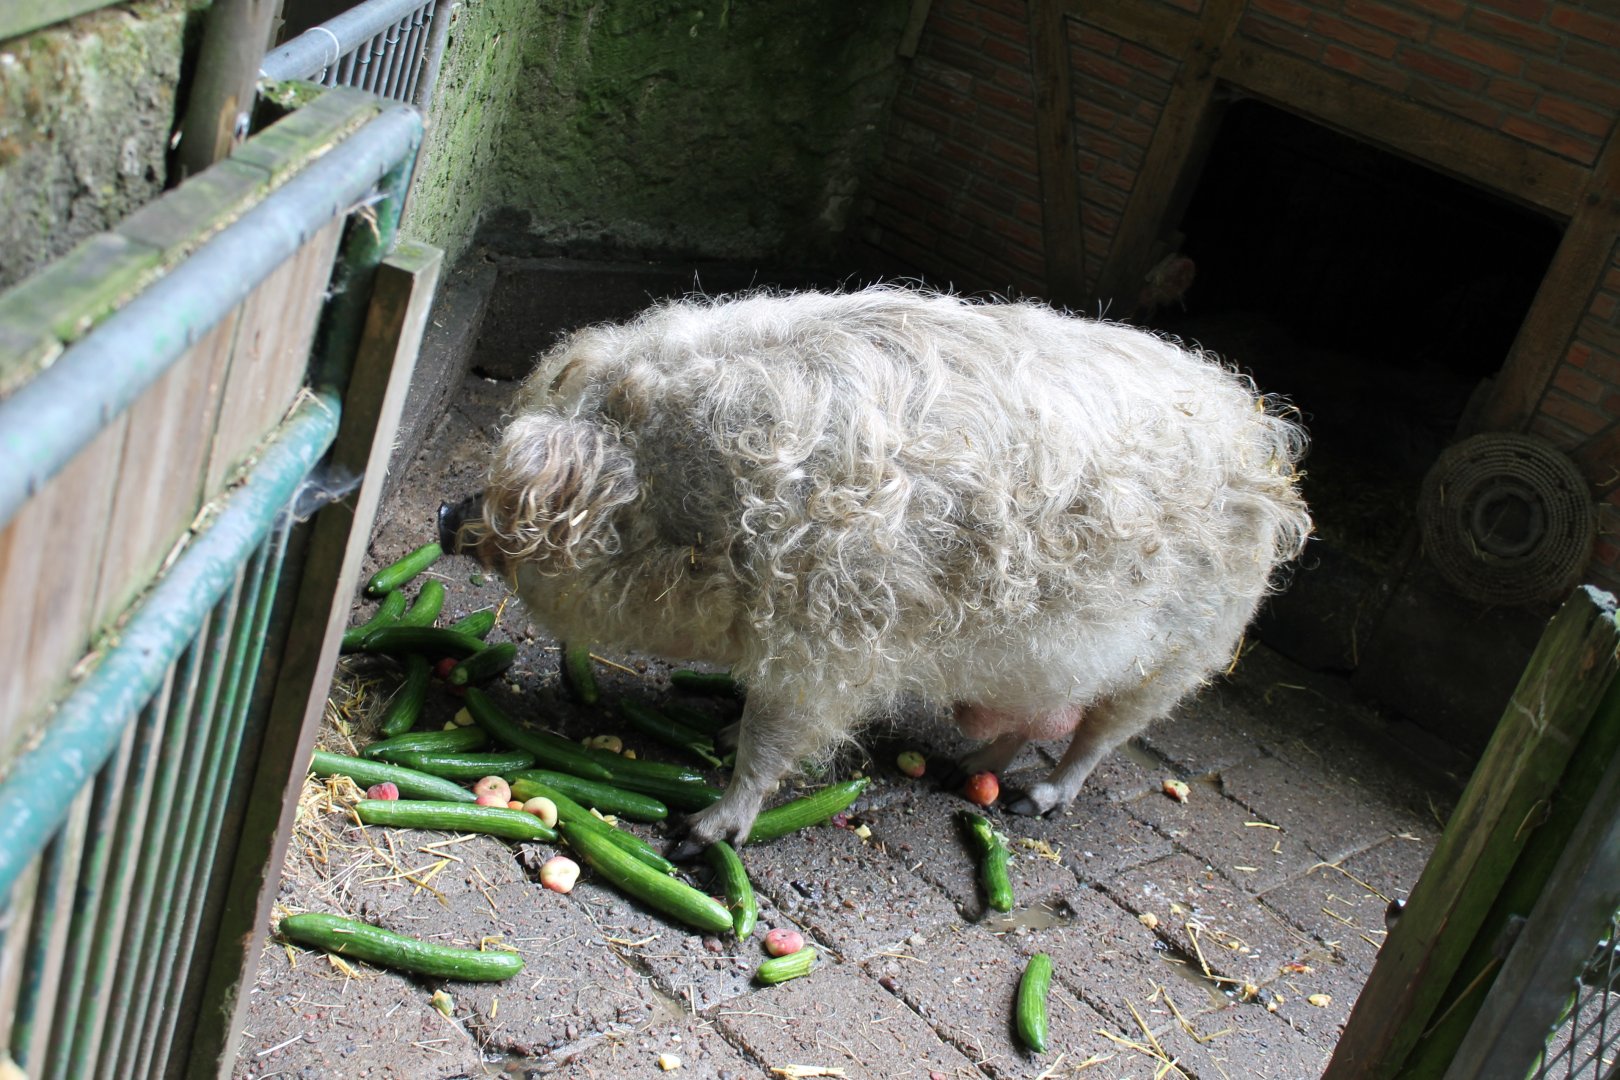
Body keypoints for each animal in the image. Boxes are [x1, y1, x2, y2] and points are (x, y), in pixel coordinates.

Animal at [443, 286, 1310, 854]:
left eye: (530, 507)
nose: (451, 516)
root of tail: (1260, 434)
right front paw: (717, 732)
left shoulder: (828, 640)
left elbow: (772, 739)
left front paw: (700, 833)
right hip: (1032, 663)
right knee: (1024, 720)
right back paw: (965, 770)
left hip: (1180, 656)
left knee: (1098, 738)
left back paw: (1033, 803)